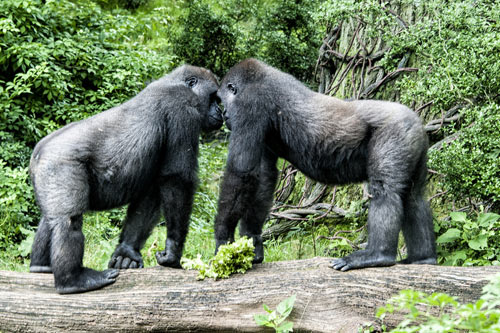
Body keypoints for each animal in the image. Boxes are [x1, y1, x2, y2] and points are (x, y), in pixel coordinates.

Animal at [28, 63, 222, 292]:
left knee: (50, 219)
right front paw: (173, 251)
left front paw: (126, 253)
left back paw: (40, 268)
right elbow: (177, 180)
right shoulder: (183, 110)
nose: (221, 111)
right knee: (68, 221)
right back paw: (72, 281)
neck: (174, 82)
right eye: (213, 98)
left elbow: (151, 195)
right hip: (60, 164)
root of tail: (39, 151)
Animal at [215, 57, 438, 270]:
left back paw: (378, 255)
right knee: (414, 196)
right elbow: (263, 176)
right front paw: (251, 240)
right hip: (413, 140)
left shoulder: (248, 106)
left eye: (220, 100)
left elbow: (242, 172)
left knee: (385, 191)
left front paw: (223, 238)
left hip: (394, 131)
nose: (222, 114)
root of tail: (416, 121)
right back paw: (423, 258)